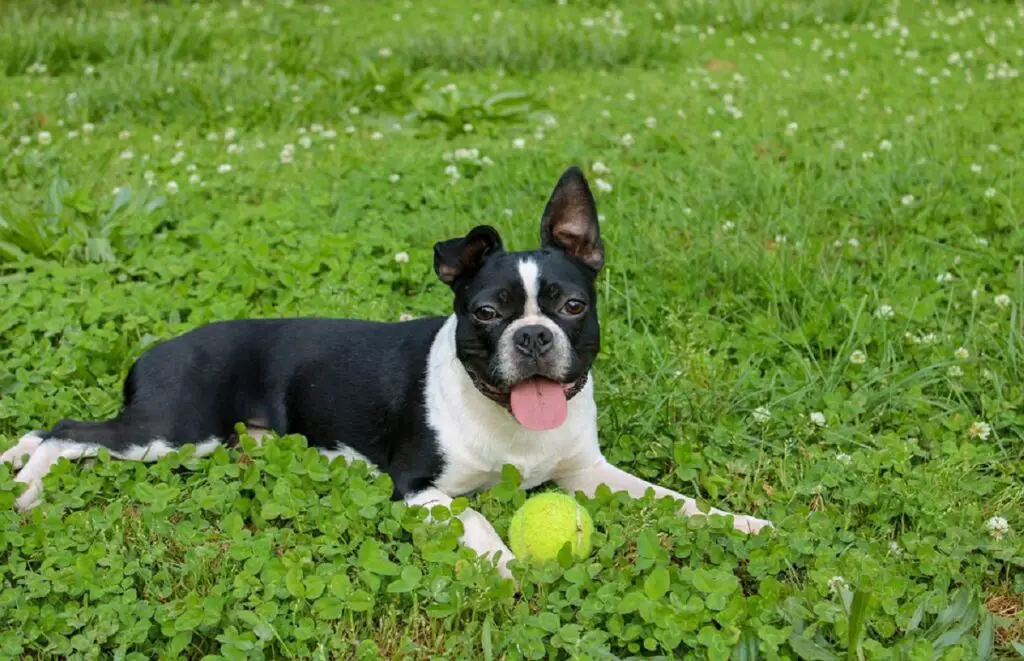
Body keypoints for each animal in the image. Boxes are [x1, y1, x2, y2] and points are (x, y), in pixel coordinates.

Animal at [0, 166, 770, 581]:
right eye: (487, 311)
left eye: (573, 306)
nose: (531, 336)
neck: (509, 424)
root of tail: (159, 346)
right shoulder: (419, 488)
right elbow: (479, 519)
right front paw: (505, 566)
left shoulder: (589, 472)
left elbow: (670, 498)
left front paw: (743, 521)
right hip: (173, 429)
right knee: (67, 429)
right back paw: (29, 485)